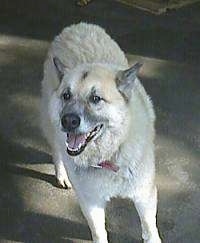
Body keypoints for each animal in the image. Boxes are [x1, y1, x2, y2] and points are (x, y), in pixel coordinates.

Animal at [40, 21, 161, 242]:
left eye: (96, 99)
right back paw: (62, 175)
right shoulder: (90, 202)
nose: (68, 121)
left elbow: (149, 228)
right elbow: (98, 232)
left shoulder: (144, 195)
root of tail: (77, 26)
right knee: (56, 150)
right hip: (51, 126)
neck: (110, 154)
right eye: (66, 95)